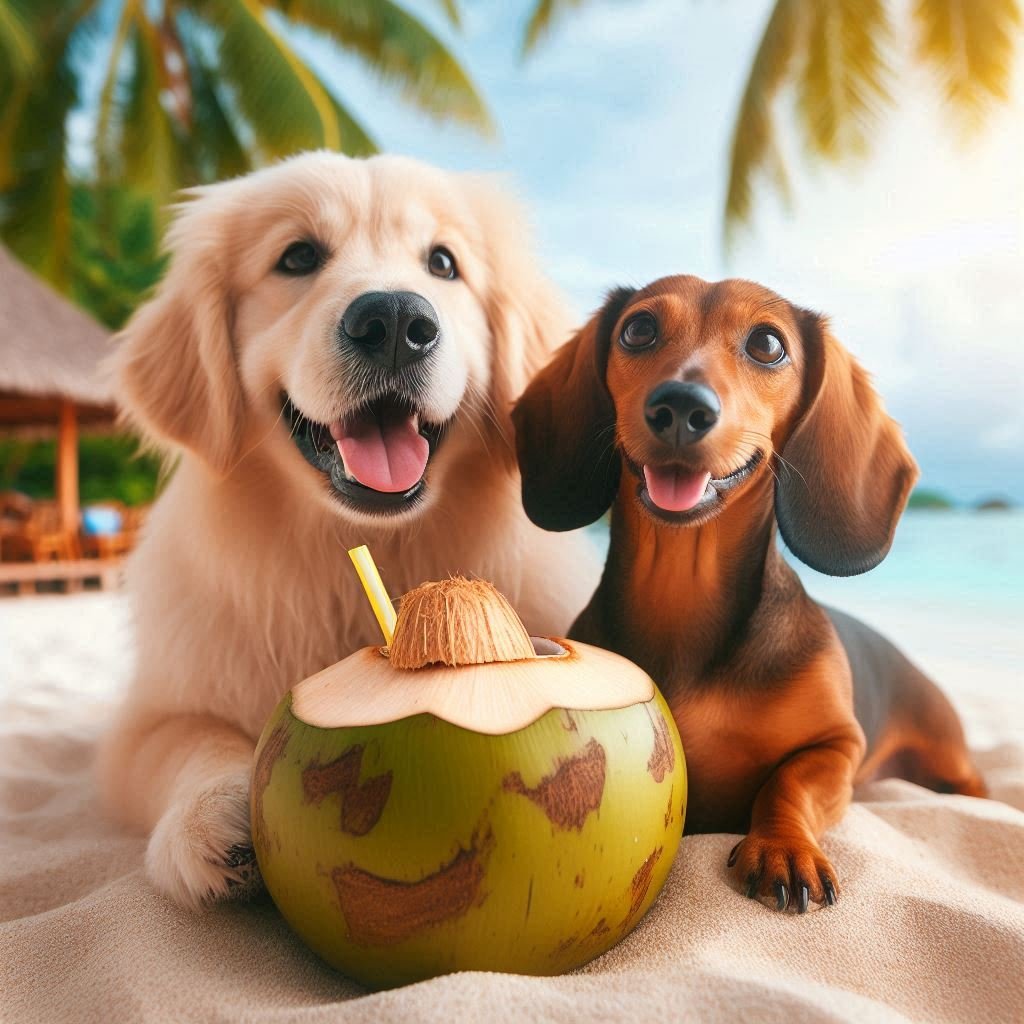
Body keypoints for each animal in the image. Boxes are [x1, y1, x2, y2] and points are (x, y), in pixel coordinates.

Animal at [98, 149, 598, 905]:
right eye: (298, 256)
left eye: (443, 263)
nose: (393, 320)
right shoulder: (150, 717)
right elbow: (188, 741)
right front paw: (213, 811)